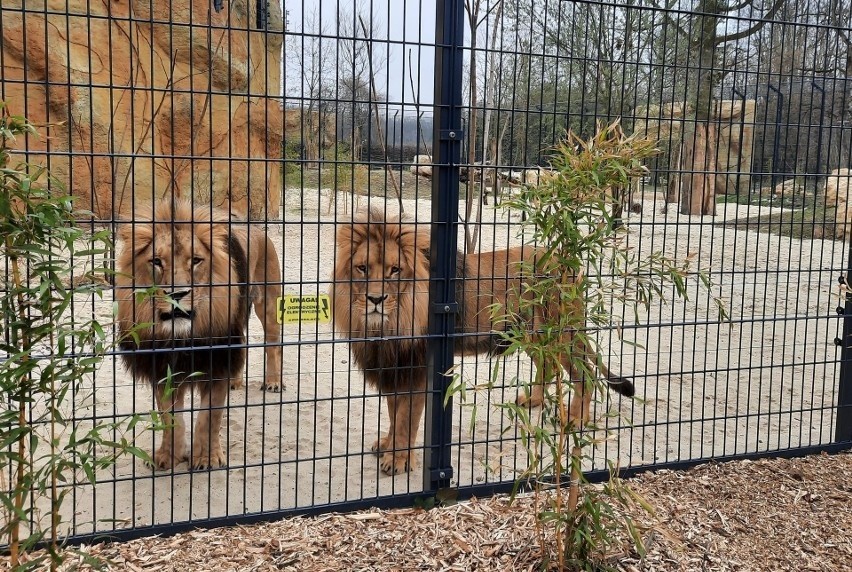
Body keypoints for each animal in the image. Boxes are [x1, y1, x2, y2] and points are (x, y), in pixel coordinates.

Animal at [115, 200, 286, 470]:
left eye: (196, 260)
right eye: (156, 261)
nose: (176, 294)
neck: (183, 337)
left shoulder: (216, 363)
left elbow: (209, 417)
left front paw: (207, 458)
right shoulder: (162, 367)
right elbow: (169, 418)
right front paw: (168, 457)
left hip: (267, 302)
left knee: (273, 345)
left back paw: (273, 381)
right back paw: (236, 381)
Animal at [332, 208, 632, 476]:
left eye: (395, 270)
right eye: (362, 268)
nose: (375, 299)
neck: (390, 323)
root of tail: (566, 261)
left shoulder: (416, 369)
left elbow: (407, 420)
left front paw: (398, 460)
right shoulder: (394, 367)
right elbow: (395, 414)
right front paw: (387, 446)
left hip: (562, 334)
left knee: (586, 374)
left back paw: (576, 417)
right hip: (533, 336)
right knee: (549, 367)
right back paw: (532, 400)